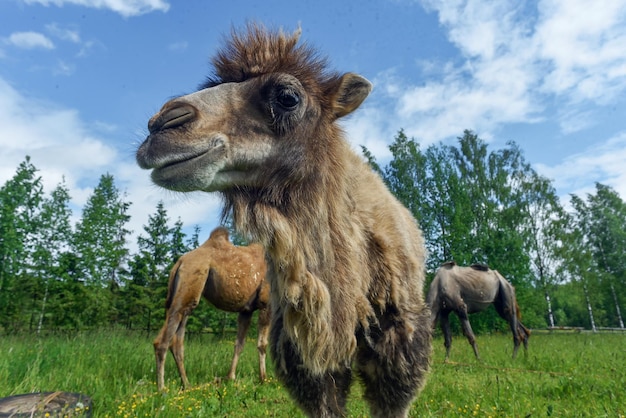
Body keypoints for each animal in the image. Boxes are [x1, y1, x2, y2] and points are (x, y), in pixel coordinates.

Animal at [152, 227, 270, 390]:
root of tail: (179, 263)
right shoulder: (266, 303)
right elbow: (262, 344)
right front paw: (263, 379)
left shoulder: (246, 310)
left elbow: (239, 344)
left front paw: (230, 377)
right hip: (189, 284)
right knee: (162, 342)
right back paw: (162, 389)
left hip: (185, 296)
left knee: (176, 342)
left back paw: (187, 384)